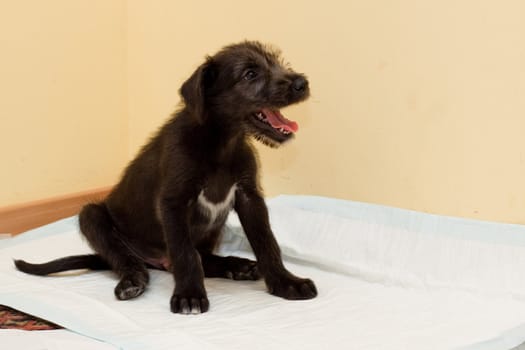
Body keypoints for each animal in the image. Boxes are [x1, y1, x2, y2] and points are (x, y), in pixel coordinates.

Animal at [14, 41, 318, 314]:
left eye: (277, 62)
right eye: (250, 74)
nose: (302, 83)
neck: (219, 143)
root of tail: (155, 261)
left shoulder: (249, 198)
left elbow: (267, 243)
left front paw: (285, 282)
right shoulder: (173, 202)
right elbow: (185, 253)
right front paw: (189, 295)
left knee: (205, 258)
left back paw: (238, 265)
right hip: (92, 217)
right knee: (126, 259)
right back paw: (132, 280)